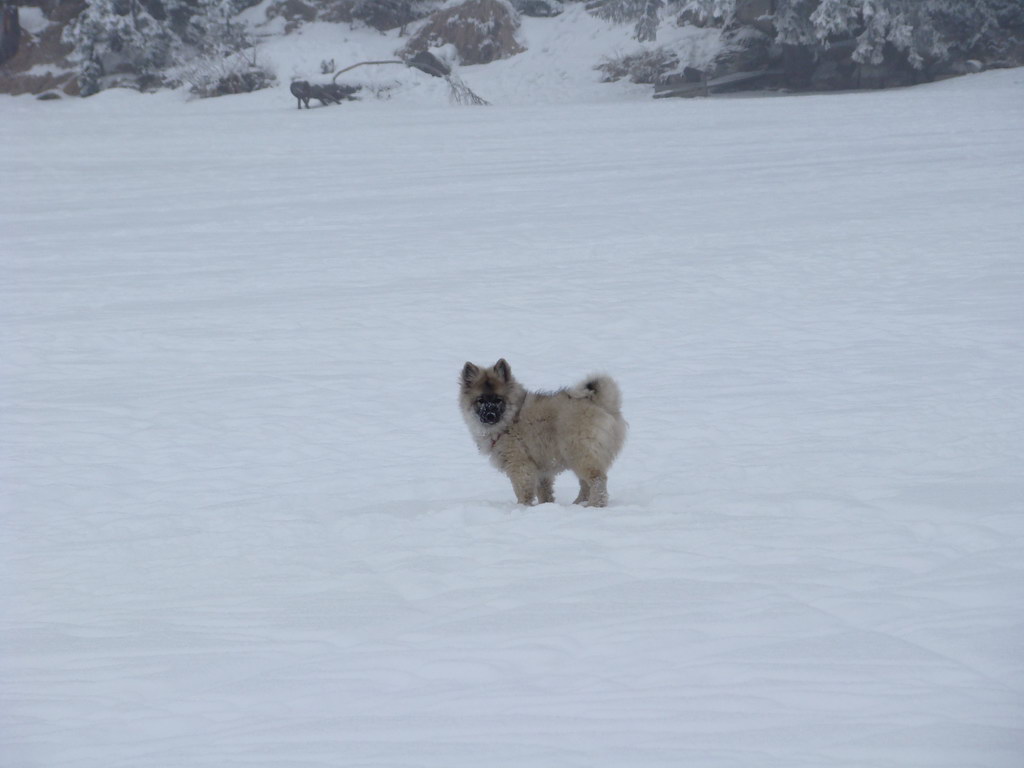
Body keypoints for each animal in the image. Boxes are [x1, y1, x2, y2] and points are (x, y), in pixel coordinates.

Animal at [462, 364, 622, 507]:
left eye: (497, 400)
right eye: (480, 401)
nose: (490, 415)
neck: (509, 421)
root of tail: (602, 404)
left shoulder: (519, 464)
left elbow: (522, 491)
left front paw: (521, 507)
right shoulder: (541, 469)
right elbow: (544, 492)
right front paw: (545, 505)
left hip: (579, 453)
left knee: (597, 479)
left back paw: (595, 504)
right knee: (585, 483)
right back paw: (579, 504)